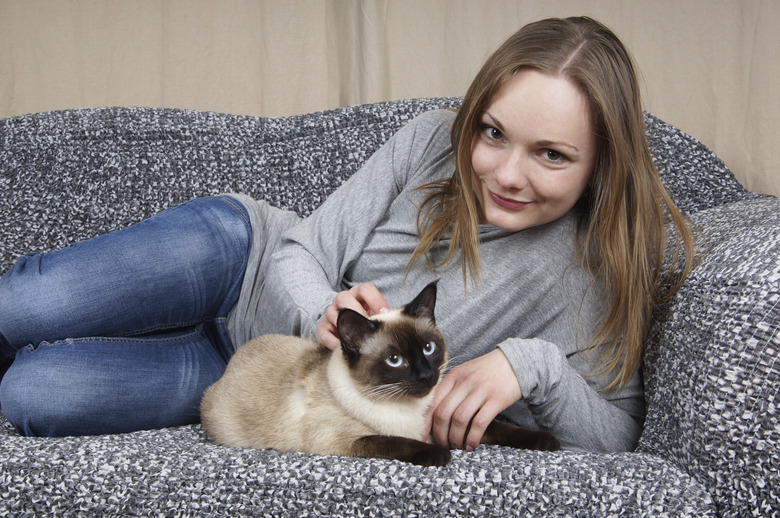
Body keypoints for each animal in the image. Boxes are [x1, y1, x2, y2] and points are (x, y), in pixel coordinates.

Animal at [198, 282, 556, 470]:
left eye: (428, 348)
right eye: (395, 360)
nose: (426, 375)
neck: (410, 412)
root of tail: (233, 360)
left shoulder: (447, 420)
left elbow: (502, 427)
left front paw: (548, 441)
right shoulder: (341, 441)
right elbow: (393, 441)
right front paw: (440, 454)